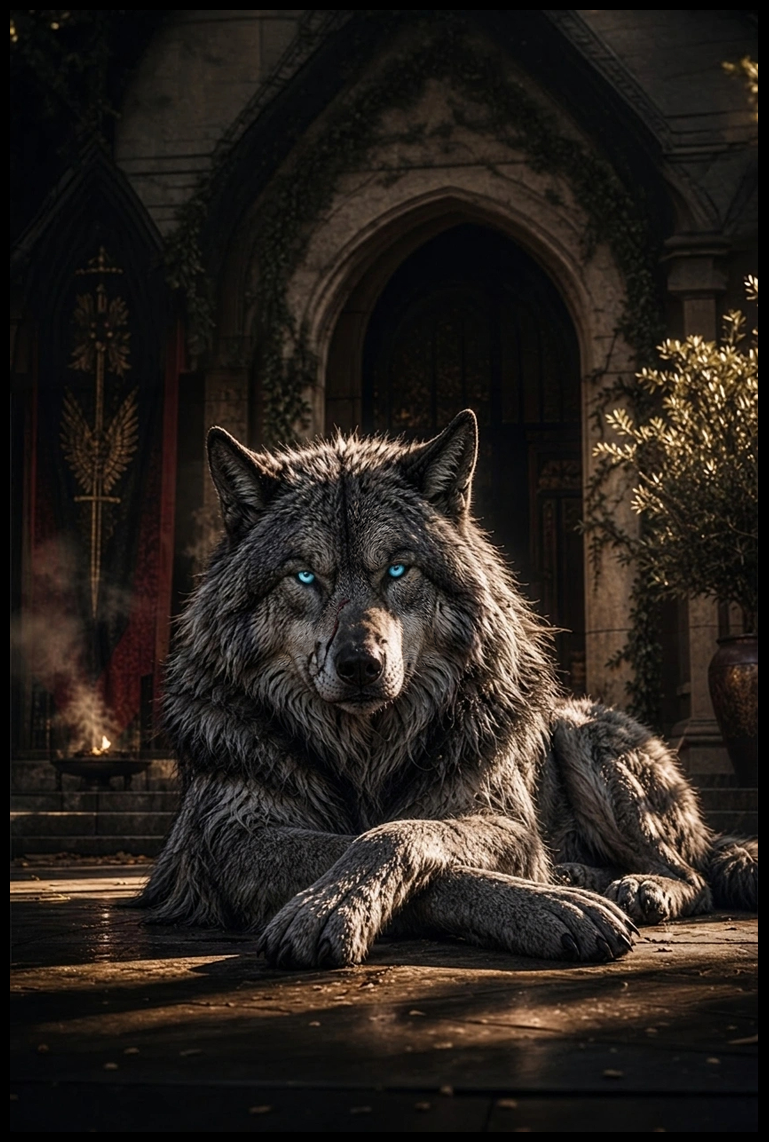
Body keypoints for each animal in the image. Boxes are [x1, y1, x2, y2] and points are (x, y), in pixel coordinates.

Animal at [136, 410, 757, 968]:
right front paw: (555, 900)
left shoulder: (506, 824)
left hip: (579, 733)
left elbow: (394, 832)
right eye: (305, 576)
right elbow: (362, 844)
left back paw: (641, 887)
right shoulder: (235, 840)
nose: (360, 664)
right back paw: (580, 876)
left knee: (694, 876)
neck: (365, 755)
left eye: (397, 570)